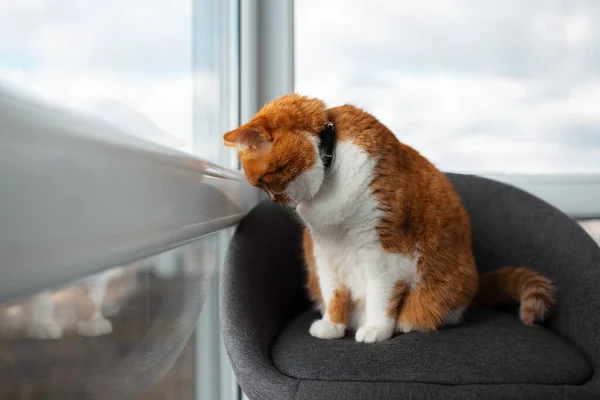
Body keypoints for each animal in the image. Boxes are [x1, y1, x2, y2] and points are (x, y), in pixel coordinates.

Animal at [223, 94, 556, 344]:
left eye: (263, 182)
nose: (276, 200)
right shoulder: (325, 253)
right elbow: (334, 293)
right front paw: (332, 325)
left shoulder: (384, 253)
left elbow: (381, 296)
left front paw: (376, 329)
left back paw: (405, 323)